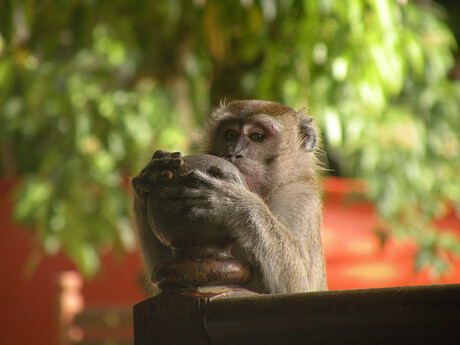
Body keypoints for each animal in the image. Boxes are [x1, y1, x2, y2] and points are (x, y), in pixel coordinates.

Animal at [131, 99, 328, 292]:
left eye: (257, 136)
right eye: (230, 134)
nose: (234, 153)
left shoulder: (299, 198)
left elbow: (299, 287)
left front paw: (233, 201)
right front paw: (148, 176)